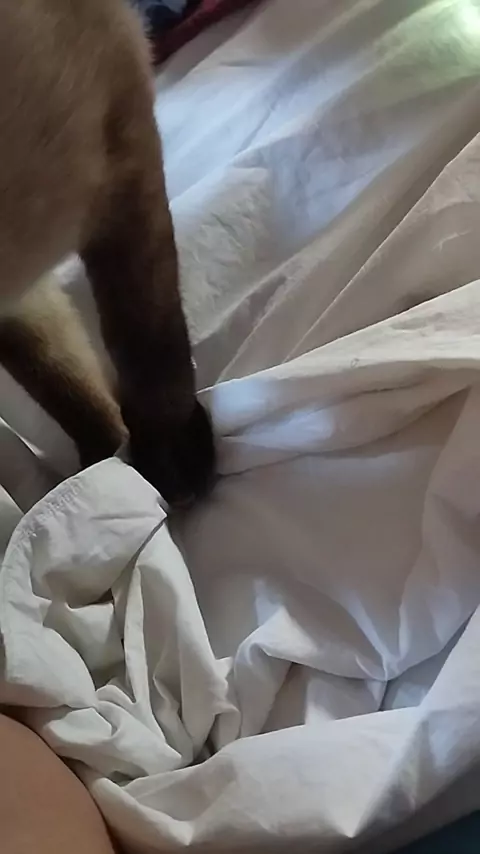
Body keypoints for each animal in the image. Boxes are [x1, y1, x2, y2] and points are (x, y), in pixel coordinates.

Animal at [0, 0, 215, 507]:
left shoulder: (116, 138)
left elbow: (144, 333)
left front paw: (164, 462)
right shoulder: (17, 298)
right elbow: (63, 382)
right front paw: (109, 469)